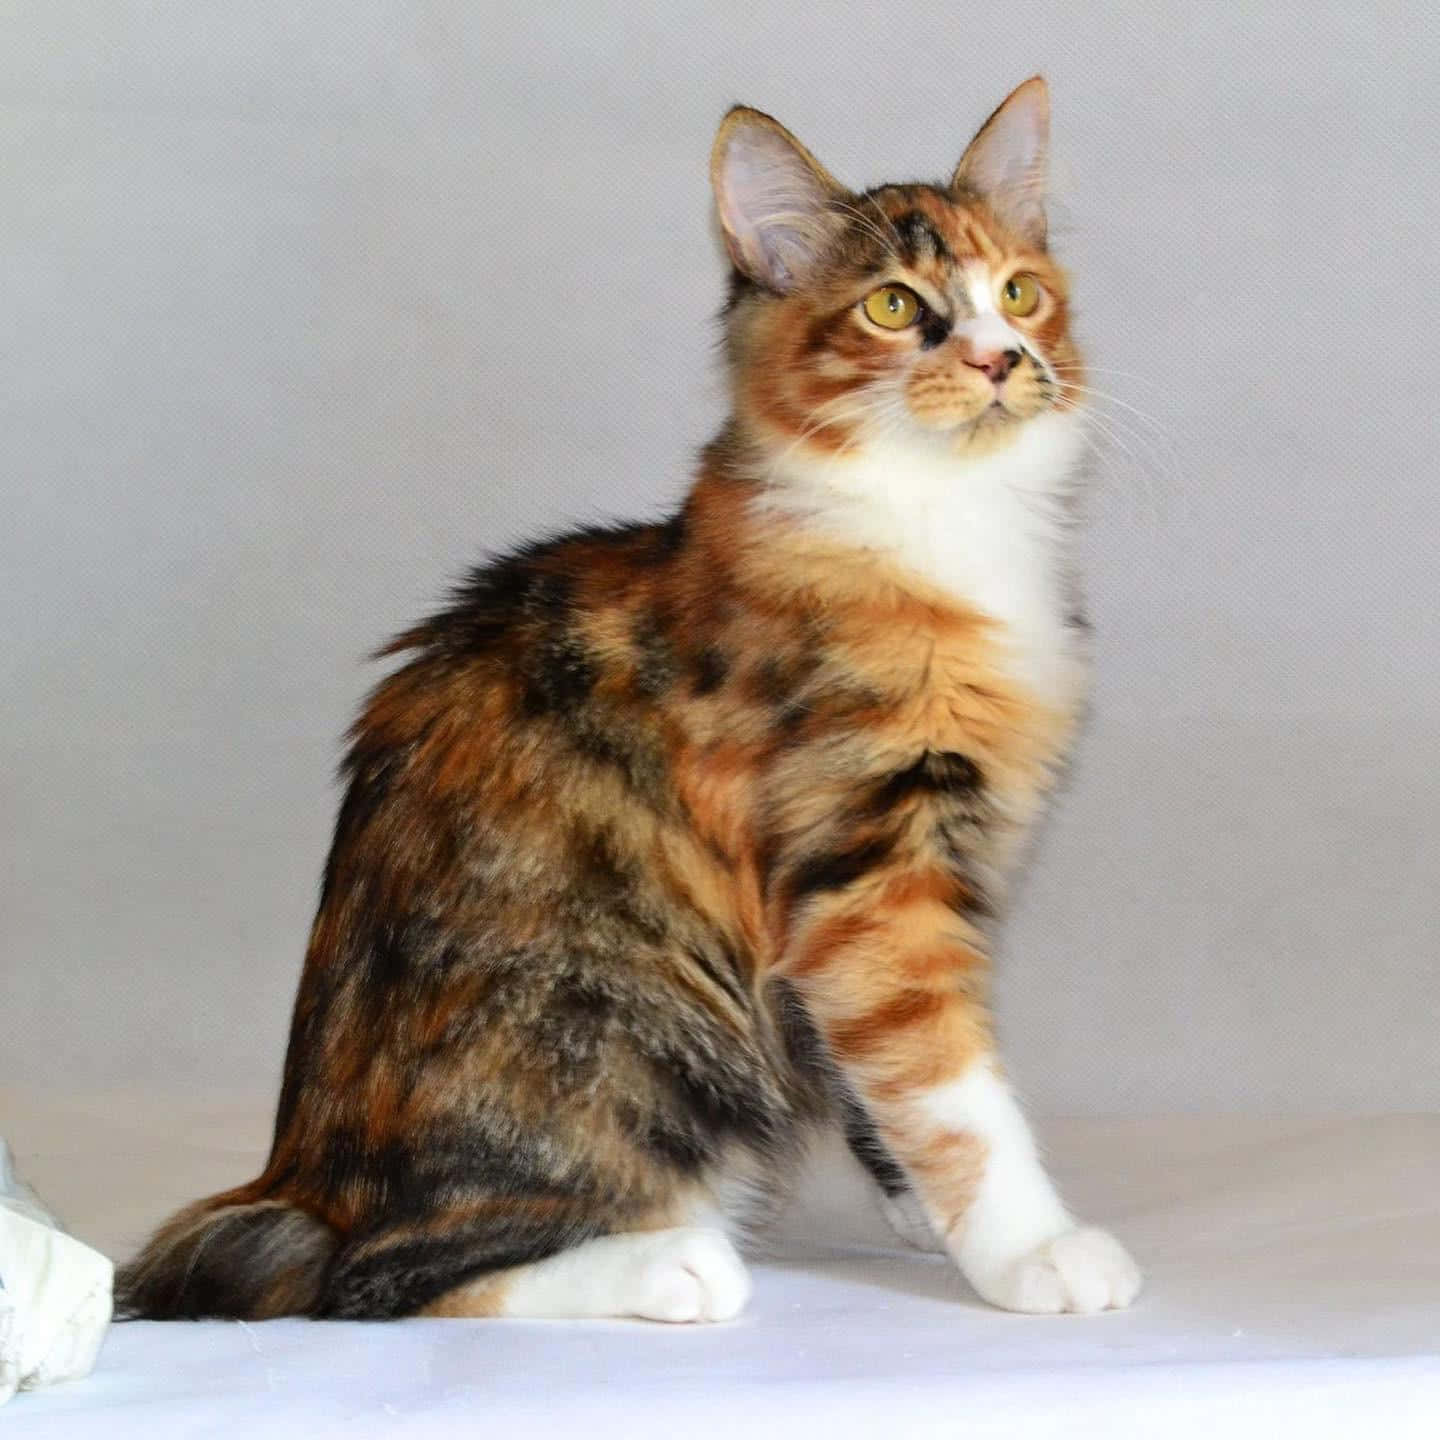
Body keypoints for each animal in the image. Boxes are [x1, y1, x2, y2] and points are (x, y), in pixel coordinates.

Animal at [118, 75, 1140, 1319]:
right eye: (895, 307)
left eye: (1021, 294)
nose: (1000, 359)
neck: (945, 520)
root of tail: (302, 1186)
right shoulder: (867, 874)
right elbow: (955, 1089)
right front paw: (1032, 1248)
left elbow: (874, 1085)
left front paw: (918, 1214)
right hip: (615, 1036)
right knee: (382, 1280)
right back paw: (673, 1263)